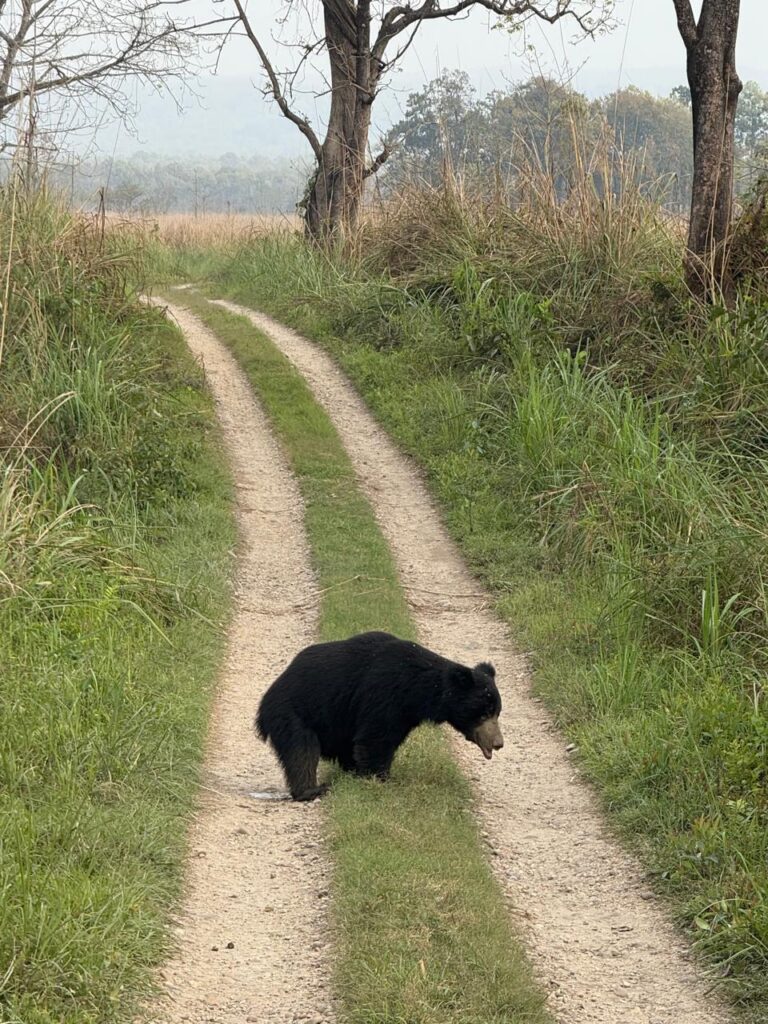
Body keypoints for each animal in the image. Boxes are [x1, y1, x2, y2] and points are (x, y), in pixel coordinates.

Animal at [255, 630, 503, 801]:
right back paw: (312, 789)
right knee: (301, 750)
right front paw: (380, 778)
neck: (418, 692)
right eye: (485, 713)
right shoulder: (385, 694)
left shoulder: (405, 713)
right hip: (293, 714)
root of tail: (265, 701)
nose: (498, 743)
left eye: (497, 712)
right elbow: (376, 738)